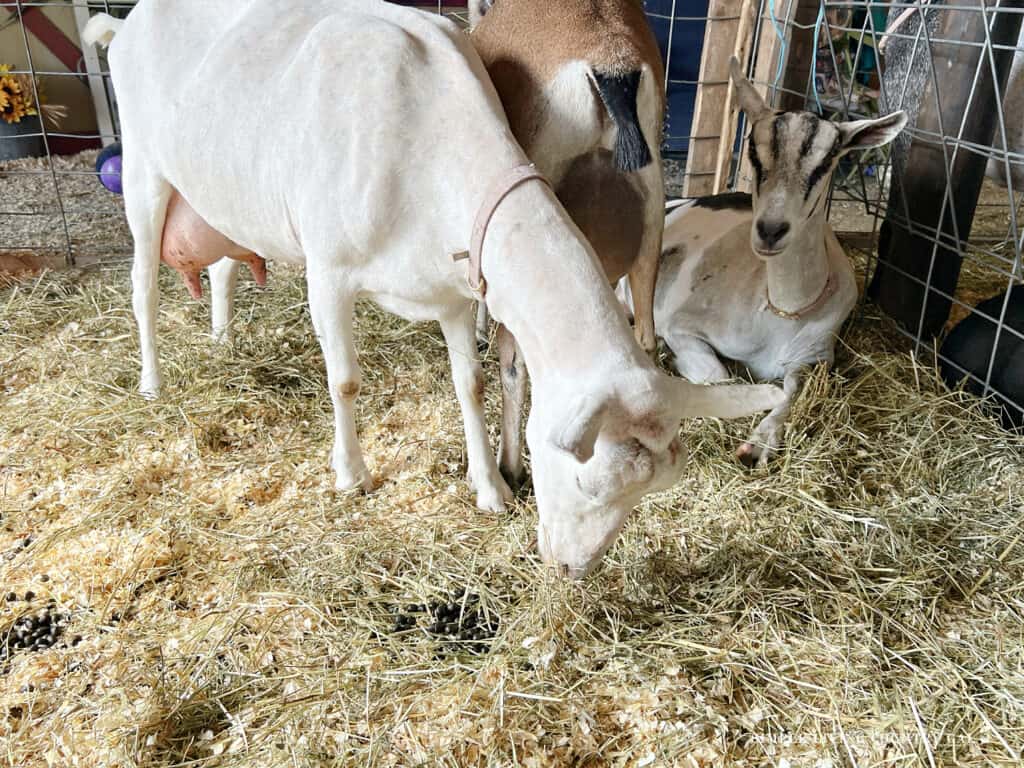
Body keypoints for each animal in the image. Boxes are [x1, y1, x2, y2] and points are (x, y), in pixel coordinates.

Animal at [623, 59, 906, 467]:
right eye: (754, 154)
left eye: (826, 163)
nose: (771, 230)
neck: (780, 312)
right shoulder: (683, 324)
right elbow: (720, 375)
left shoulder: (816, 357)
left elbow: (792, 389)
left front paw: (758, 443)